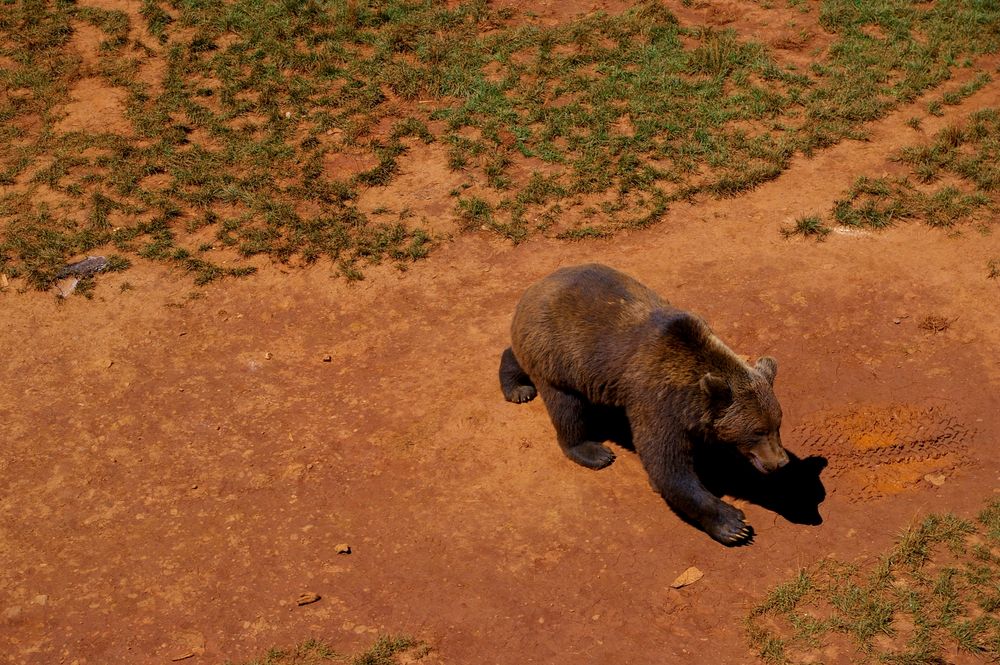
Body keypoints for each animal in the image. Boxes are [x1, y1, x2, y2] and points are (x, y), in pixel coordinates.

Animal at [500, 262, 788, 544]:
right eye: (758, 431)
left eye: (777, 425)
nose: (781, 462)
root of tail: (532, 289)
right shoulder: (656, 401)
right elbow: (667, 464)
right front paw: (733, 524)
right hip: (558, 354)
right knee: (567, 408)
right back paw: (592, 450)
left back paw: (516, 386)